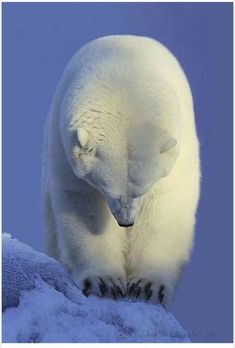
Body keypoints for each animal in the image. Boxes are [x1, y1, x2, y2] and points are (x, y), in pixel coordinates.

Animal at [42, 35, 200, 308]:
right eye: (107, 189)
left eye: (141, 190)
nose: (126, 222)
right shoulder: (64, 151)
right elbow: (84, 206)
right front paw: (104, 283)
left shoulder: (179, 151)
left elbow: (166, 206)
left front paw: (148, 287)